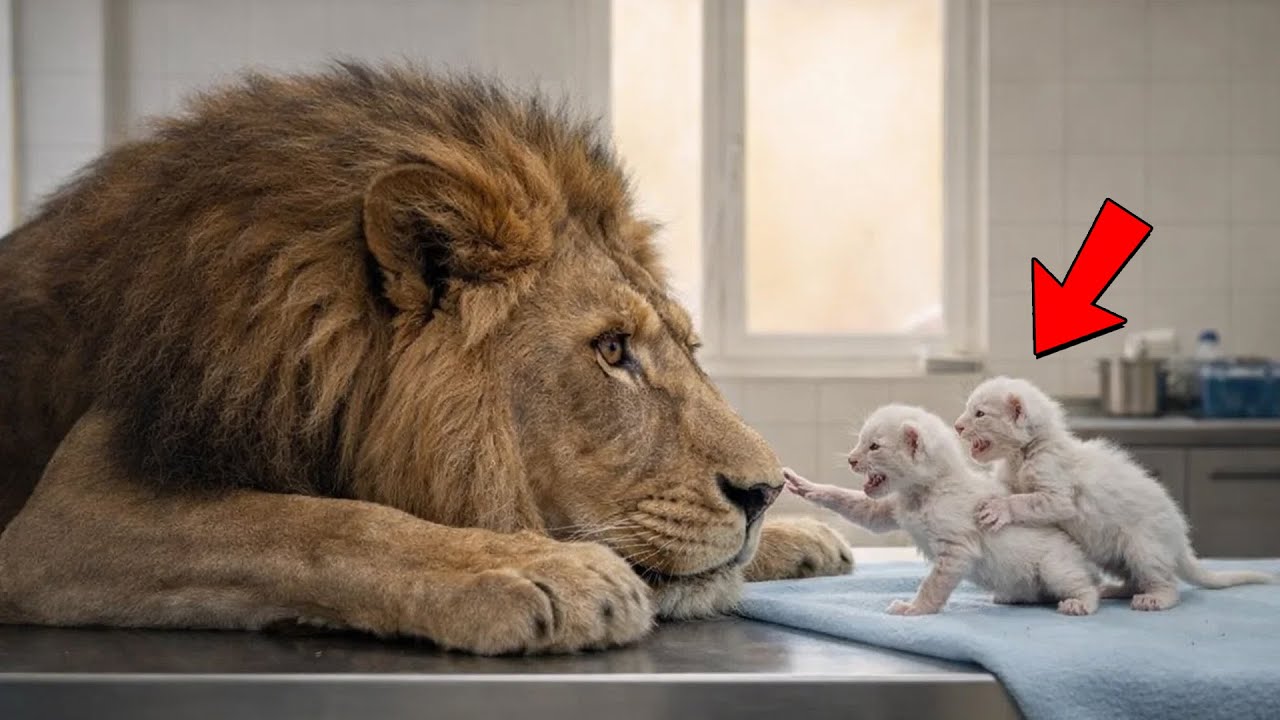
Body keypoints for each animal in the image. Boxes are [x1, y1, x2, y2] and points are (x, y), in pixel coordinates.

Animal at [0, 64, 850, 654]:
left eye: (687, 348)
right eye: (613, 350)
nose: (765, 493)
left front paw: (797, 539)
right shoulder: (71, 509)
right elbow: (317, 523)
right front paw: (533, 569)